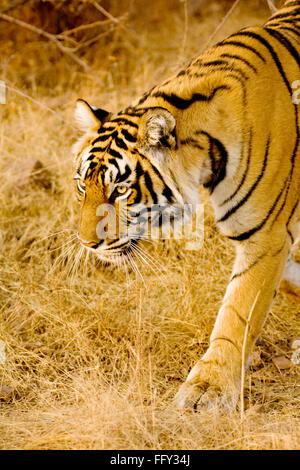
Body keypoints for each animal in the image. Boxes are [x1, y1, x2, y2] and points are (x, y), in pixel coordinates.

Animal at [72, 0, 300, 410]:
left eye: (121, 190)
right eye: (84, 185)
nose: (87, 244)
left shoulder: (266, 235)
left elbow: (237, 312)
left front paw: (208, 388)